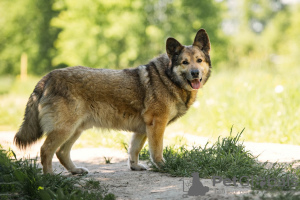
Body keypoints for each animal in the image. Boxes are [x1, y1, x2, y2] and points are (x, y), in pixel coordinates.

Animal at [13, 28, 211, 174]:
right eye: (184, 62)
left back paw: (75, 171)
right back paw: (50, 177)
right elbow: (156, 151)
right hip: (64, 130)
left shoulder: (143, 129)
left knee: (61, 152)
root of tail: (48, 77)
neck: (168, 78)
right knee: (46, 151)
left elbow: (134, 150)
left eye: (199, 60)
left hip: (75, 130)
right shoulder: (157, 125)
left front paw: (135, 167)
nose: (195, 73)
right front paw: (163, 166)